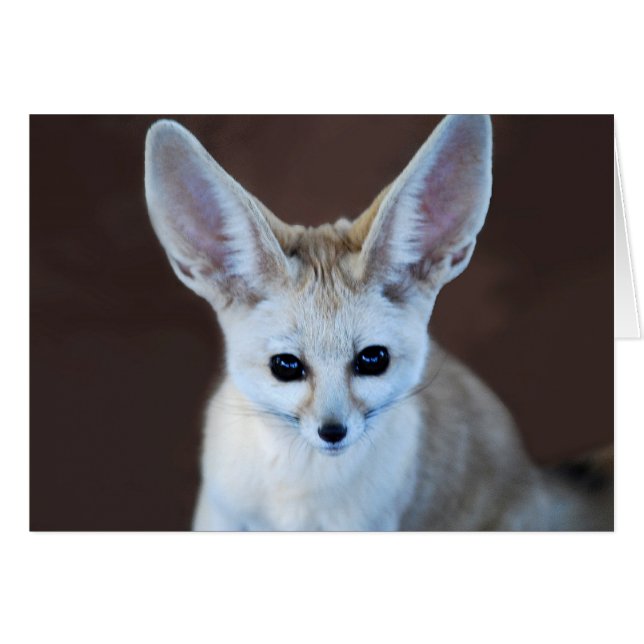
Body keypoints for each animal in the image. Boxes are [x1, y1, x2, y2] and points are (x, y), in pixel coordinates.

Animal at [144, 115, 613, 531]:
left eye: (373, 360)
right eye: (285, 366)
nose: (332, 432)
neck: (296, 506)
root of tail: (536, 478)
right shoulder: (219, 517)